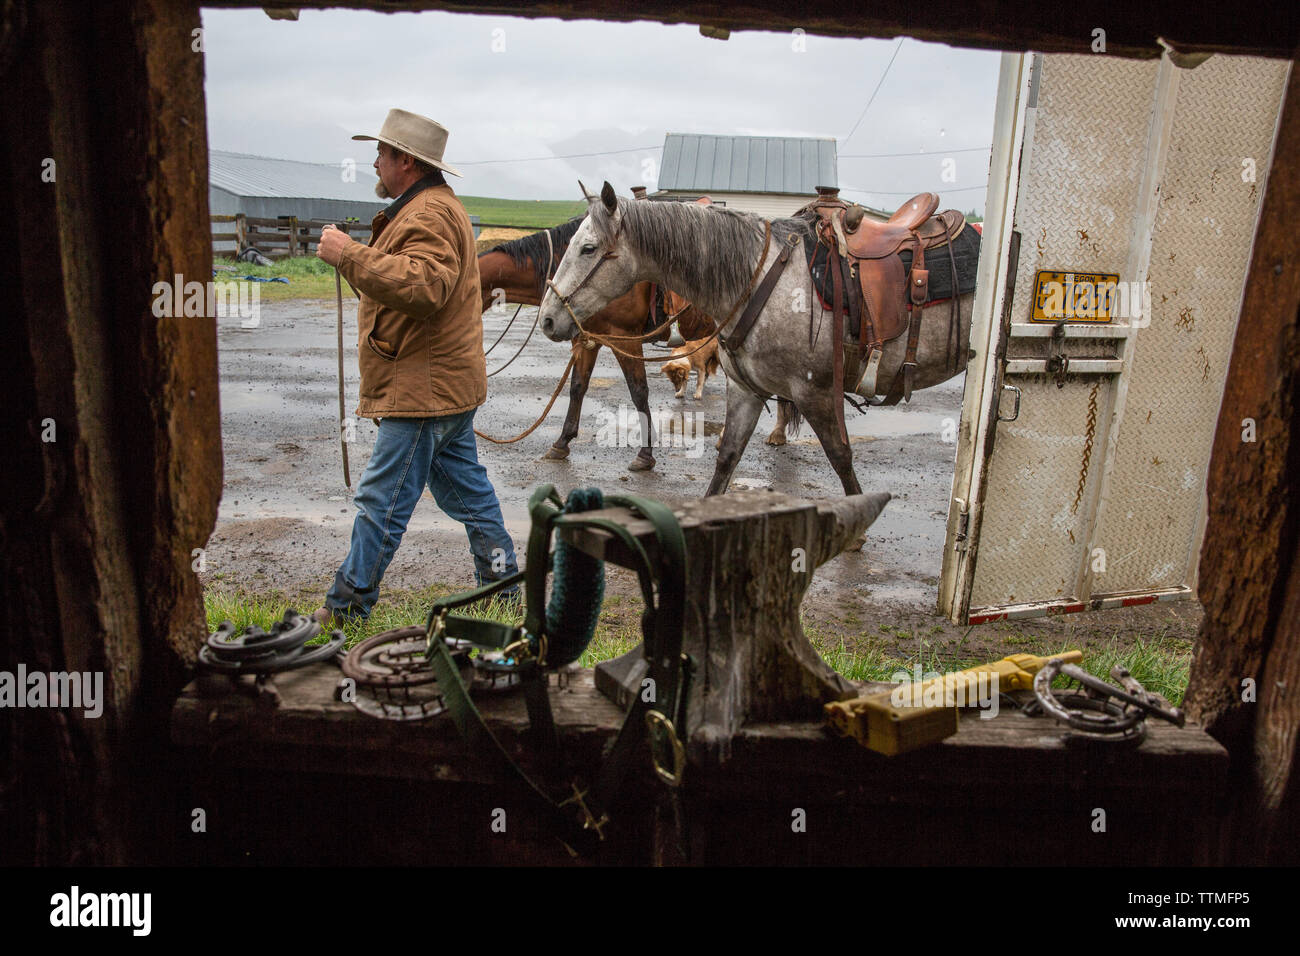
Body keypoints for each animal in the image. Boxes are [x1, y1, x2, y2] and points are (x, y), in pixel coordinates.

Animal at [538, 183, 977, 502]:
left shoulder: (817, 392)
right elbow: (727, 457)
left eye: (589, 248)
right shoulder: (745, 390)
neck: (761, 277)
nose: (548, 319)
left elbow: (840, 455)